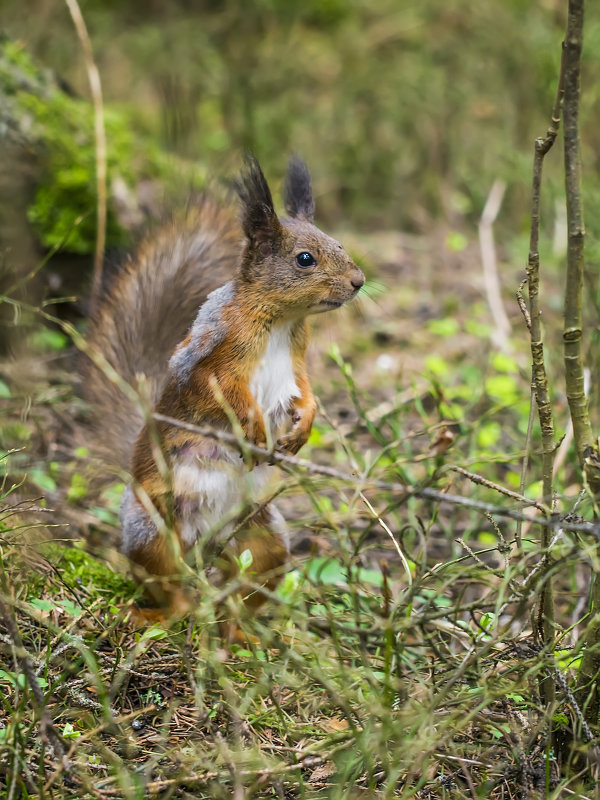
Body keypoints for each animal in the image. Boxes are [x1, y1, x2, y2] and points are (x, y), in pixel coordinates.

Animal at [83, 156, 366, 624]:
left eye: (339, 244)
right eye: (305, 259)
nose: (359, 281)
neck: (283, 320)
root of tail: (205, 542)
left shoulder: (297, 363)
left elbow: (307, 392)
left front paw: (303, 427)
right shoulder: (204, 356)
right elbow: (219, 394)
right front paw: (254, 428)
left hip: (263, 535)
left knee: (243, 591)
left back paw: (243, 631)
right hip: (150, 530)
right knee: (170, 587)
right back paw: (162, 615)